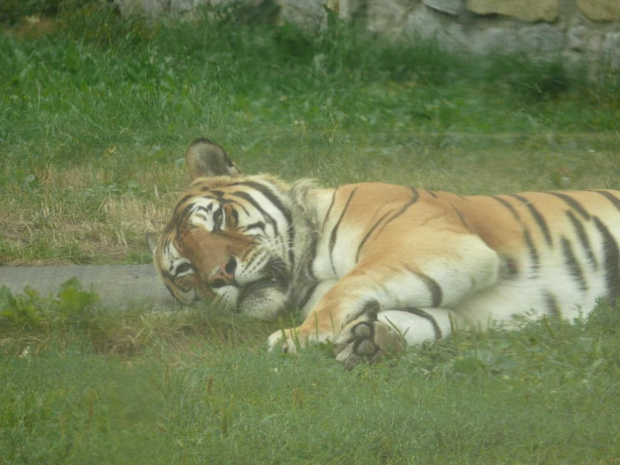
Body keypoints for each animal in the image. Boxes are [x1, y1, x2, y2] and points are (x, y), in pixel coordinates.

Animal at [147, 136, 620, 368]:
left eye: (220, 218)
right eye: (186, 270)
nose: (221, 274)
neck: (306, 274)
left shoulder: (430, 242)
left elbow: (351, 286)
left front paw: (295, 338)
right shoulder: (467, 305)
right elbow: (431, 317)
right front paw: (369, 339)